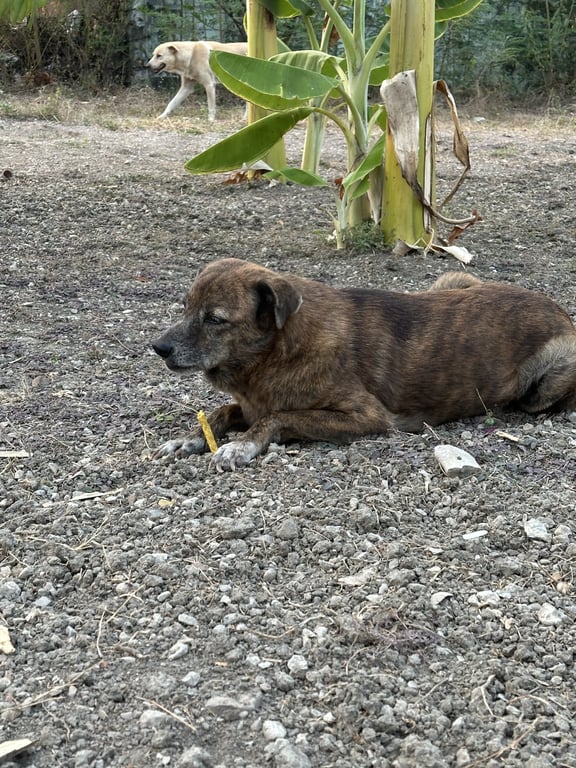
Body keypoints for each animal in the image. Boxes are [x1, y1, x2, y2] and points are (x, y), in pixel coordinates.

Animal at [152, 259, 576, 471]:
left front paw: (241, 445)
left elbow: (278, 417)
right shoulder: (252, 401)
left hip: (548, 379)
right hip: (452, 279)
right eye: (186, 307)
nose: (158, 347)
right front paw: (188, 439)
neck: (279, 350)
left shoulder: (368, 417)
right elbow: (222, 412)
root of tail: (559, 309)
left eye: (215, 319)